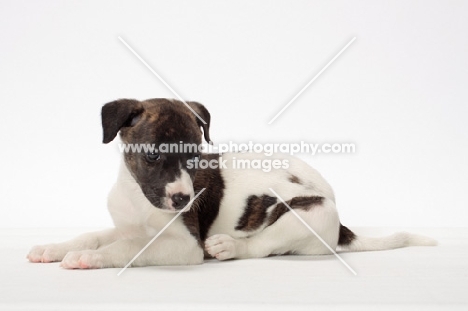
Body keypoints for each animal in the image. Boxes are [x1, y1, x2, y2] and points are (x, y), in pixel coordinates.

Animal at [27, 98, 436, 270]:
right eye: (154, 156)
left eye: (195, 158)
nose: (182, 199)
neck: (138, 197)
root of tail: (341, 226)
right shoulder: (126, 224)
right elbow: (95, 235)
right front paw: (55, 247)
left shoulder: (184, 246)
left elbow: (130, 248)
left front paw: (90, 258)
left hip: (312, 213)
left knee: (261, 246)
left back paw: (226, 246)